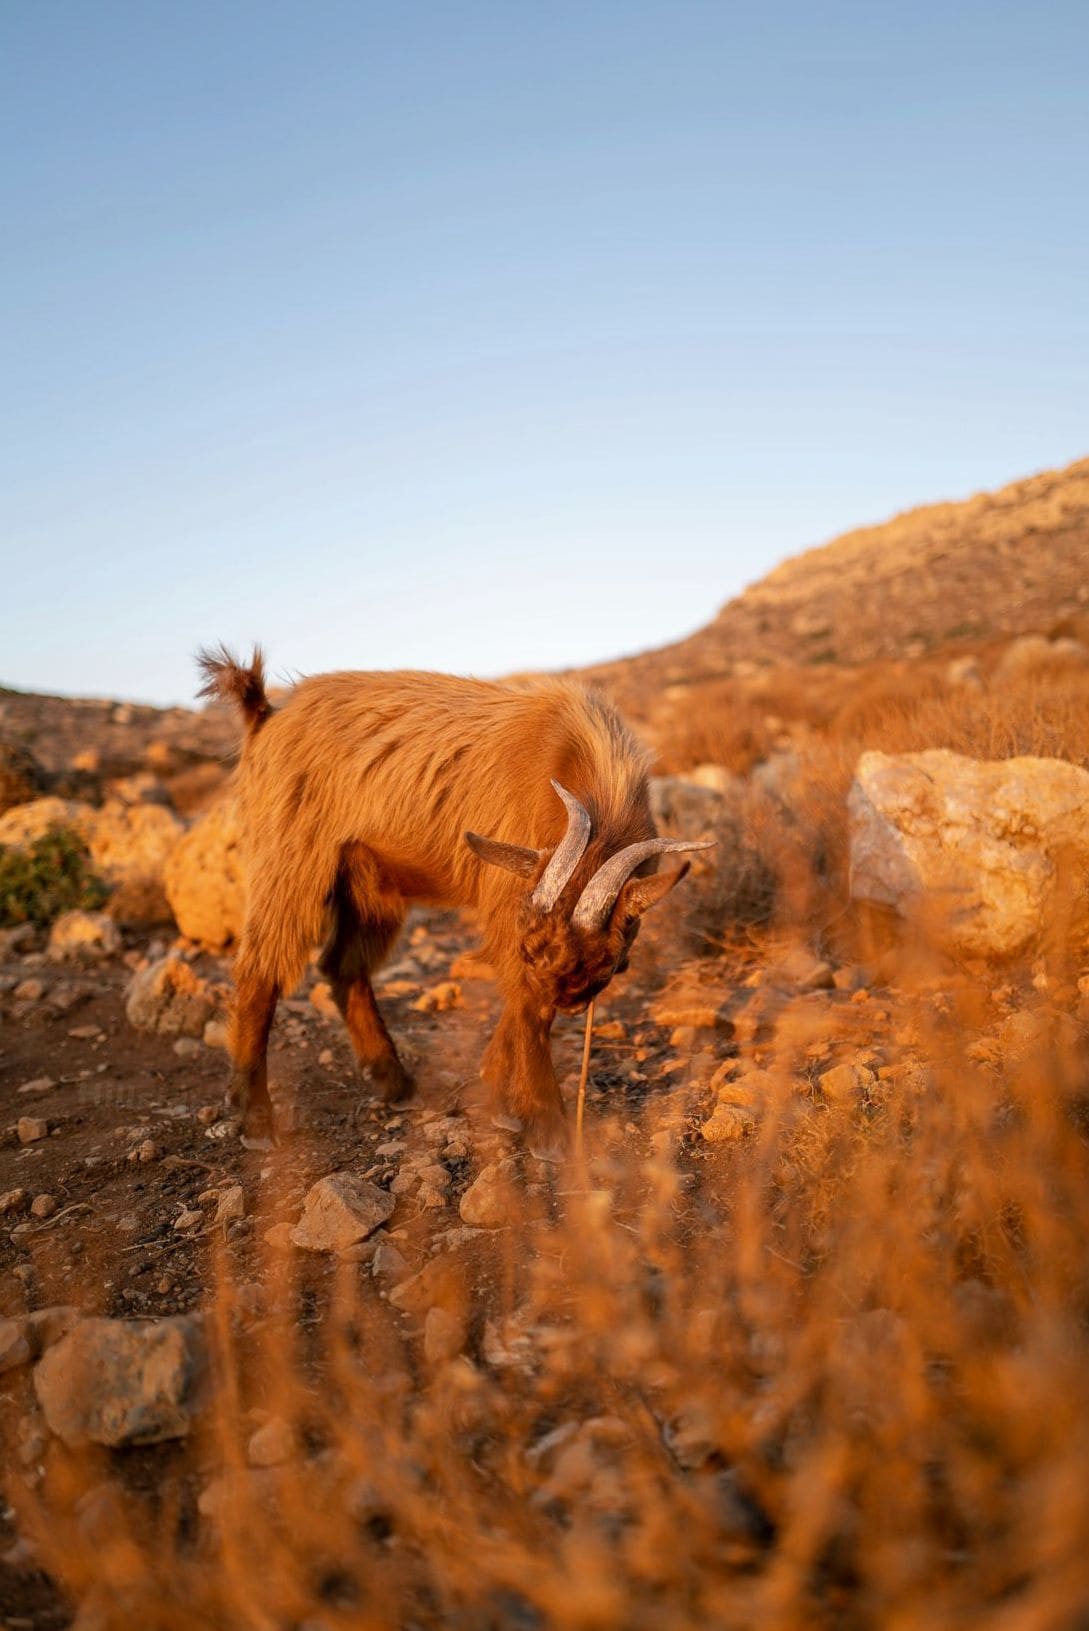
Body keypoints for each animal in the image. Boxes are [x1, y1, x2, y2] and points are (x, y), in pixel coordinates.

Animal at [197, 646, 712, 1158]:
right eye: (535, 952)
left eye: (606, 963)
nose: (571, 1001)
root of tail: (268, 714)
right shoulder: (511, 909)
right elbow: (527, 1009)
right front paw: (547, 1128)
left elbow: (519, 1005)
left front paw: (497, 1087)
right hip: (292, 861)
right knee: (260, 971)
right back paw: (255, 1118)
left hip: (367, 881)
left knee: (343, 967)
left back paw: (395, 1083)